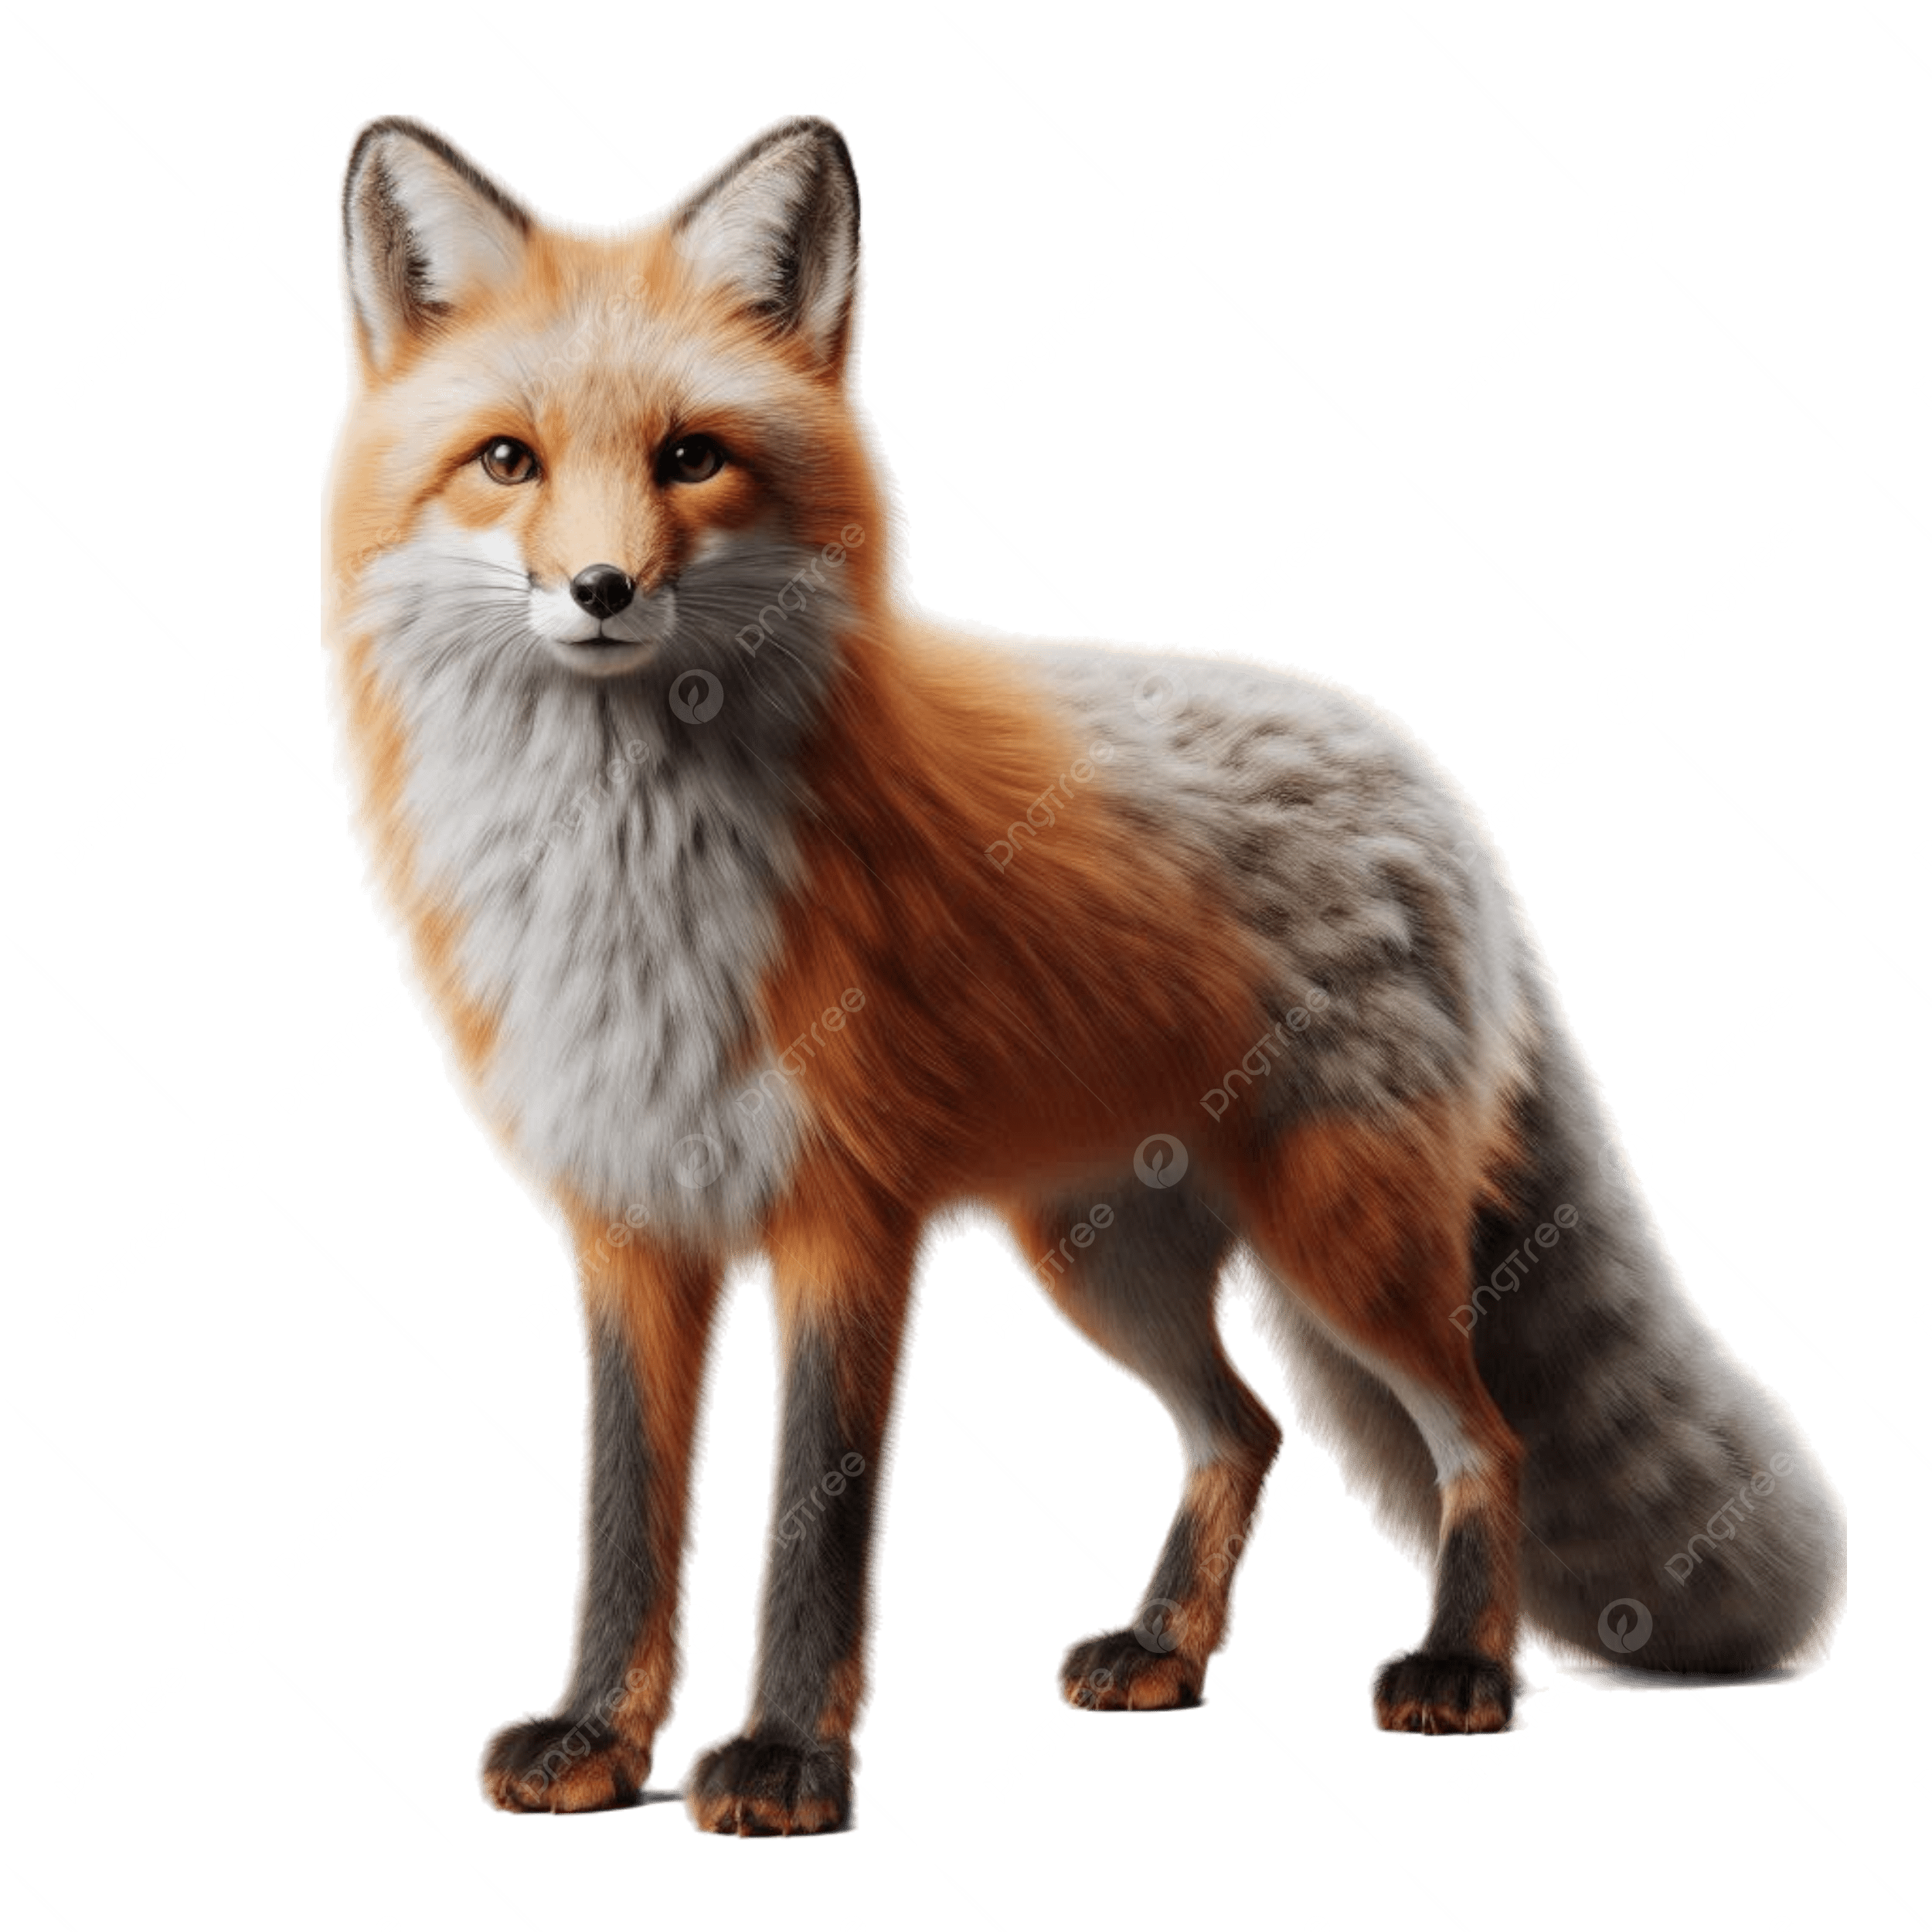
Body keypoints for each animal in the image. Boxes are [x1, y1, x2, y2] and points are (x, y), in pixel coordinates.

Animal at [318, 111, 1846, 1837]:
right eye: (507, 461)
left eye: (691, 458)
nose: (597, 590)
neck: (624, 869)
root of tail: (1426, 779)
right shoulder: (633, 1227)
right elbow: (626, 1525)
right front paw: (596, 1735)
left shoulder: (847, 1221)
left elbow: (819, 1523)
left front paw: (786, 1762)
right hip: (1101, 1256)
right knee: (1246, 1427)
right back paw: (1169, 1649)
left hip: (1341, 1245)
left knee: (1485, 1436)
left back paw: (1460, 1667)